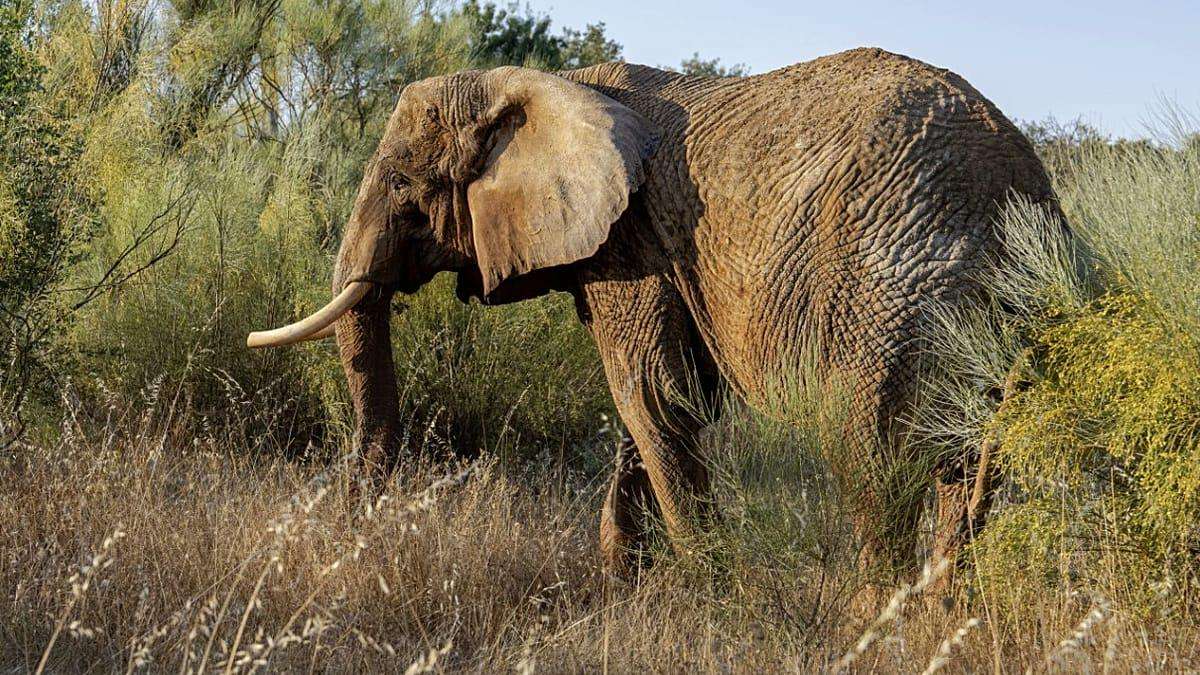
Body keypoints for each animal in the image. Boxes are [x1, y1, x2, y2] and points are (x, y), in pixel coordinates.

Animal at [247, 47, 1062, 577]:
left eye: (405, 186)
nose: (342, 533)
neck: (551, 85)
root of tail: (1018, 184)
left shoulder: (632, 243)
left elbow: (651, 395)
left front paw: (711, 593)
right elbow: (657, 403)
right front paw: (623, 584)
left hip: (889, 291)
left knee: (872, 456)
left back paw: (873, 621)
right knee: (960, 466)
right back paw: (938, 610)